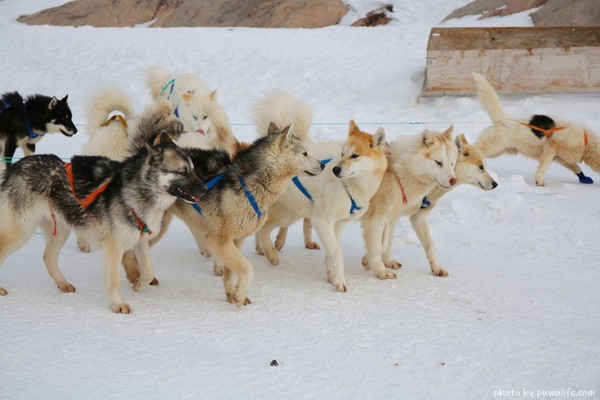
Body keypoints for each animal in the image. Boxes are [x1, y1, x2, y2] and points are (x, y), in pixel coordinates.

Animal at [0, 133, 205, 314]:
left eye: (194, 169)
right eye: (183, 172)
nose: (204, 189)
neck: (138, 191)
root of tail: (15, 166)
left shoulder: (139, 239)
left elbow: (148, 270)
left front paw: (138, 285)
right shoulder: (113, 246)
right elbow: (115, 280)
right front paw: (117, 304)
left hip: (61, 231)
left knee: (48, 258)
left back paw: (63, 284)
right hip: (19, 232)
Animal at [123, 122, 326, 306]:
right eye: (305, 153)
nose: (323, 166)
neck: (250, 185)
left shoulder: (236, 240)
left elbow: (232, 272)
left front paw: (231, 295)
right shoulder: (220, 240)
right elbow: (247, 269)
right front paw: (239, 296)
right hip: (155, 229)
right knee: (128, 251)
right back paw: (135, 277)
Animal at [364, 134, 500, 278]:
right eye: (481, 167)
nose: (495, 184)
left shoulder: (416, 218)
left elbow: (428, 247)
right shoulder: (386, 215)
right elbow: (382, 242)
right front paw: (370, 261)